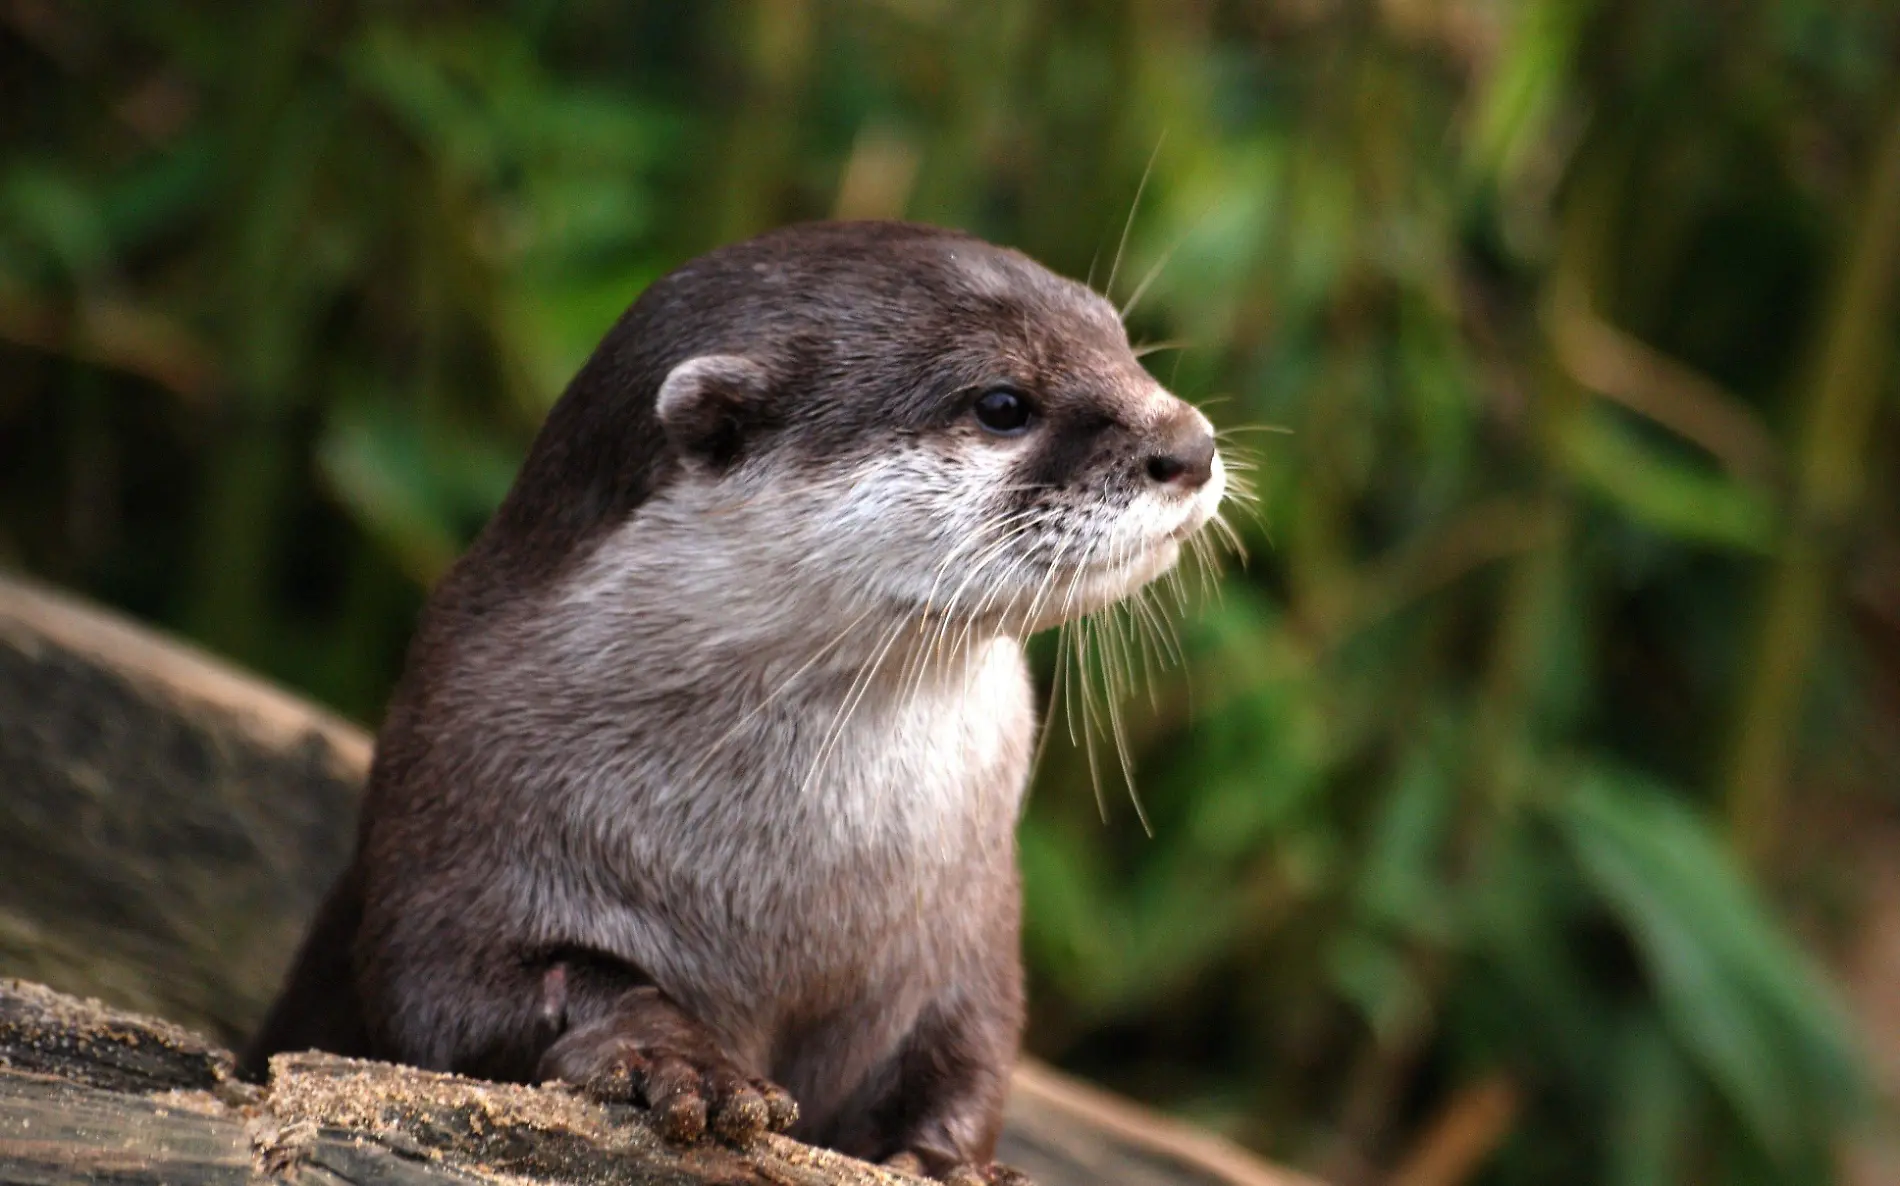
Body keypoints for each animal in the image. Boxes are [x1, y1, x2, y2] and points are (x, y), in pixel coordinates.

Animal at [248, 217, 1216, 1178]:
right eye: (1003, 404)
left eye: (1120, 341)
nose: (1191, 447)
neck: (790, 888)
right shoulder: (452, 811)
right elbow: (456, 995)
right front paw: (675, 1059)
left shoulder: (971, 929)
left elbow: (971, 1047)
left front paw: (948, 1158)